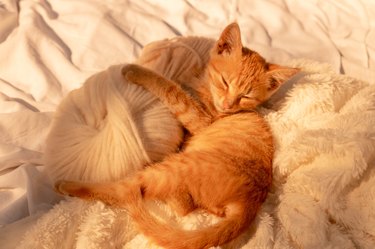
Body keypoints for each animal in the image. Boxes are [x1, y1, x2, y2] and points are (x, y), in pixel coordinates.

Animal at [54, 23, 300, 249]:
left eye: (246, 96)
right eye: (224, 81)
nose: (228, 105)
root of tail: (249, 203)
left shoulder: (201, 119)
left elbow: (173, 90)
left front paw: (138, 71)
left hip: (175, 168)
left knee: (133, 192)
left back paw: (68, 186)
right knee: (184, 206)